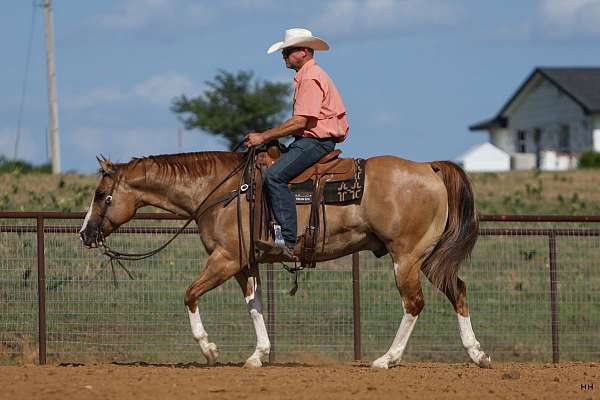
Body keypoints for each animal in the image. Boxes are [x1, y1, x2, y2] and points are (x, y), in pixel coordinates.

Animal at [79, 152, 490, 368]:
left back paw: (387, 359)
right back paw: (477, 354)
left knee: (414, 303)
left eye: (101, 195)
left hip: (405, 257)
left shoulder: (225, 259)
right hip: (428, 258)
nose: (85, 234)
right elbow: (255, 306)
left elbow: (190, 294)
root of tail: (428, 167)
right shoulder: (246, 264)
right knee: (458, 291)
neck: (222, 192)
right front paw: (258, 355)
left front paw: (209, 349)